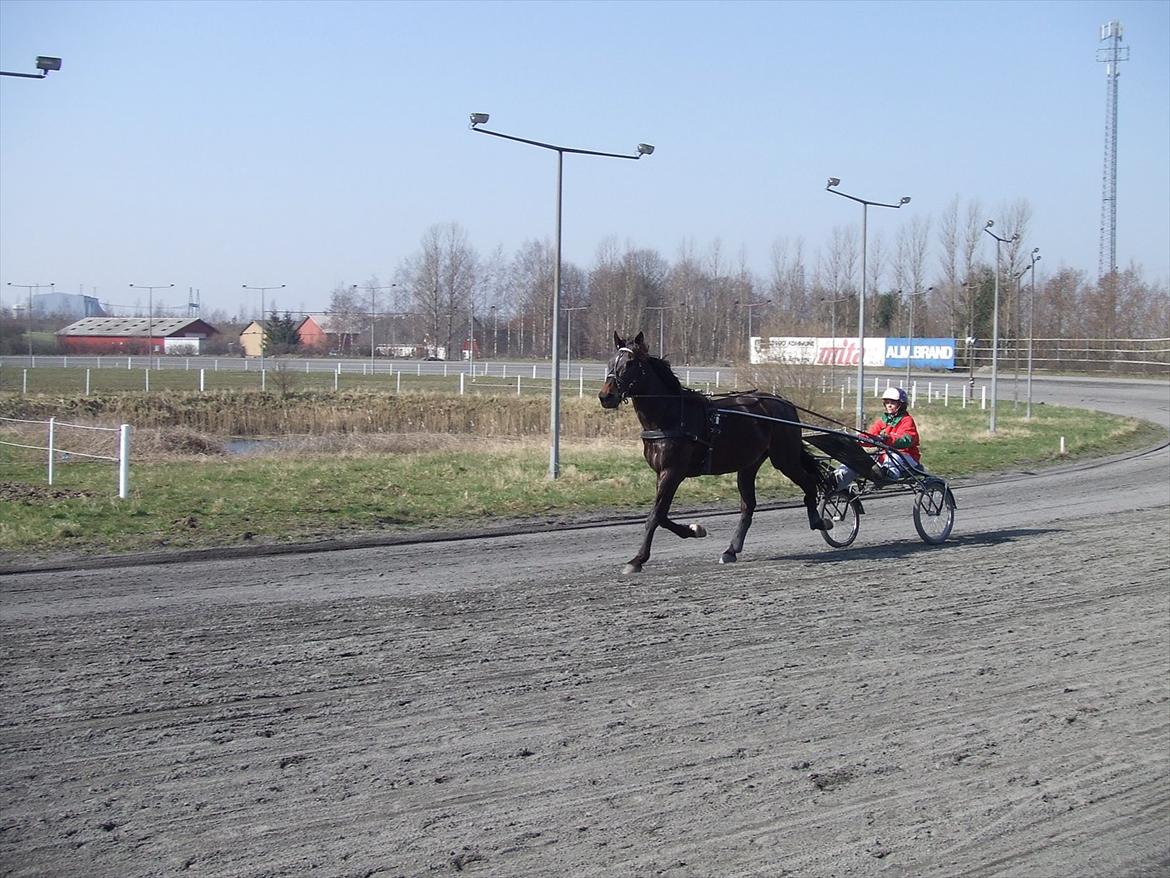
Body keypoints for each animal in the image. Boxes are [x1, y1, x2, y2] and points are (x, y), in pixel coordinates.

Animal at [603, 332, 833, 573]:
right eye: (611, 362)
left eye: (629, 364)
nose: (605, 396)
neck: (670, 417)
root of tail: (783, 402)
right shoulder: (662, 473)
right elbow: (662, 515)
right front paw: (694, 529)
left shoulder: (673, 472)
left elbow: (655, 515)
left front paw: (637, 559)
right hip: (749, 464)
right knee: (748, 505)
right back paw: (731, 550)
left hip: (784, 458)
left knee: (808, 482)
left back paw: (819, 520)